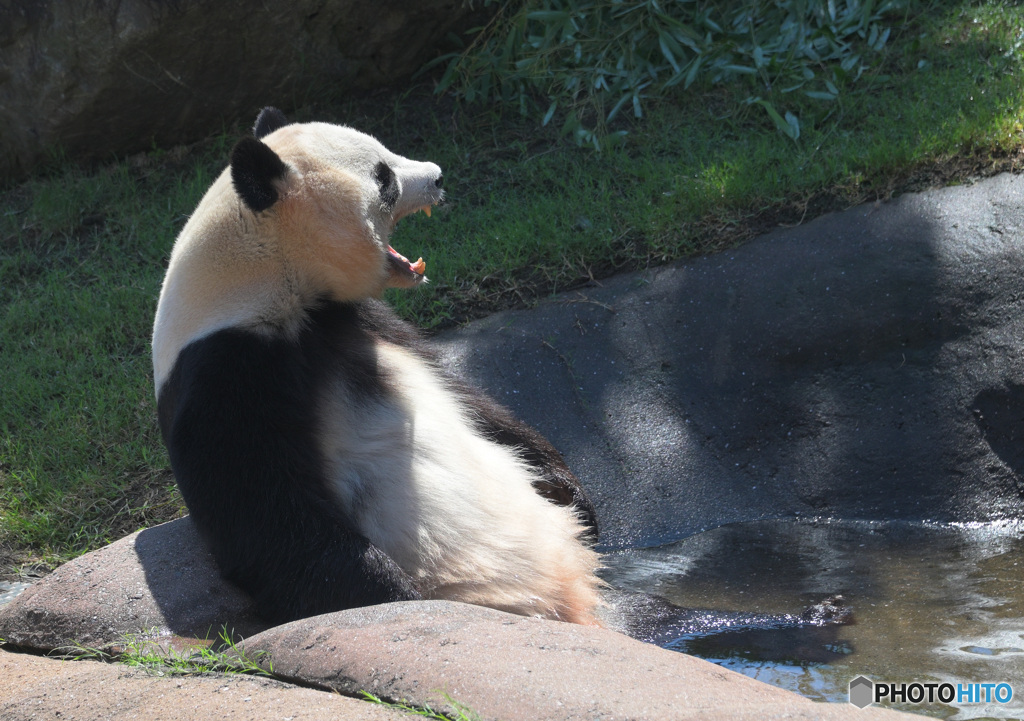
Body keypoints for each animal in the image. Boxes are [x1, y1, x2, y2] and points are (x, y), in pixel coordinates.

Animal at [150, 105, 598, 626]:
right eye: (384, 178)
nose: (438, 176)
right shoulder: (225, 372)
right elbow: (263, 516)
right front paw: (400, 598)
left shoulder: (354, 318)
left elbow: (468, 396)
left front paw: (572, 493)